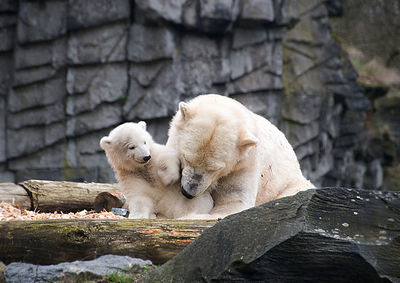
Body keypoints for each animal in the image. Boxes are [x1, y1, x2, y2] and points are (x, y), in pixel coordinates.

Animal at [167, 94, 314, 219]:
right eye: (186, 158)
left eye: (214, 169)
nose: (188, 192)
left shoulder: (245, 163)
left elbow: (234, 200)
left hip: (289, 184)